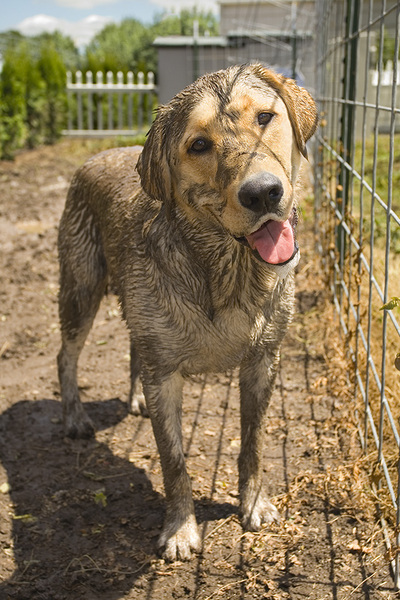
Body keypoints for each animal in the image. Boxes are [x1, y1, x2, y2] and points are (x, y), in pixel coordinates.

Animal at [57, 65, 318, 564]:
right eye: (198, 145)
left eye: (265, 117)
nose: (263, 193)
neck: (227, 271)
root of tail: (97, 154)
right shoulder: (165, 376)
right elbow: (173, 460)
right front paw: (180, 530)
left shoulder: (264, 359)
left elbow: (254, 442)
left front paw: (253, 504)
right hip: (81, 289)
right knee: (67, 356)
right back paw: (75, 419)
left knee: (133, 347)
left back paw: (133, 400)